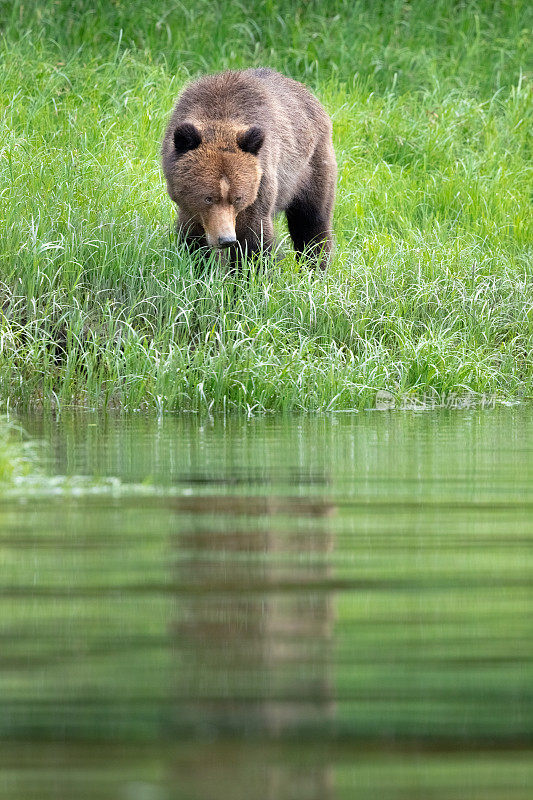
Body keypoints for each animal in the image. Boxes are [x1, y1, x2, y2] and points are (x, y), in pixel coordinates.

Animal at [162, 69, 334, 268]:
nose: (226, 239)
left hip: (309, 168)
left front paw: (249, 269)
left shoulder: (260, 184)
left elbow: (254, 238)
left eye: (237, 198)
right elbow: (193, 240)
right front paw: (199, 266)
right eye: (208, 198)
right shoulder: (188, 206)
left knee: (311, 221)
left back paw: (315, 266)